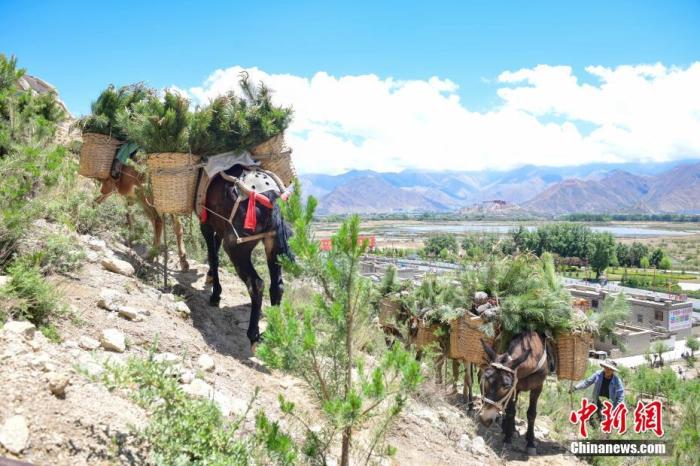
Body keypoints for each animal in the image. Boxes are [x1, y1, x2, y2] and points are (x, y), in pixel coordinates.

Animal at [199, 165, 293, 347]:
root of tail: (269, 196)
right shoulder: (218, 227)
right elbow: (215, 251)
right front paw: (211, 278)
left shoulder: (205, 222)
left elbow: (213, 255)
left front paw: (215, 295)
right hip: (273, 247)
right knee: (277, 286)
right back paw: (271, 332)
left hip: (237, 250)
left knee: (256, 284)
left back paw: (253, 334)